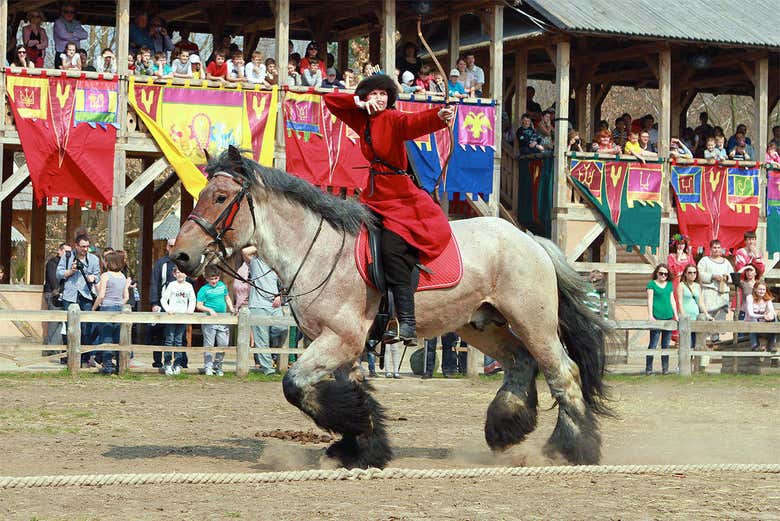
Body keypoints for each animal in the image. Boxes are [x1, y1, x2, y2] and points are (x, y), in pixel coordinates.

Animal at [171, 146, 612, 469]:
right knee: (521, 362)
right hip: (481, 325)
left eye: (220, 197)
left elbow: (294, 385)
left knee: (563, 373)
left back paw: (573, 448)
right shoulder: (344, 346)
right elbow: (353, 391)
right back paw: (505, 428)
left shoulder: (341, 339)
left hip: (534, 322)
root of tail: (529, 239)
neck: (318, 250)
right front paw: (363, 446)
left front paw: (355, 433)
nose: (180, 256)